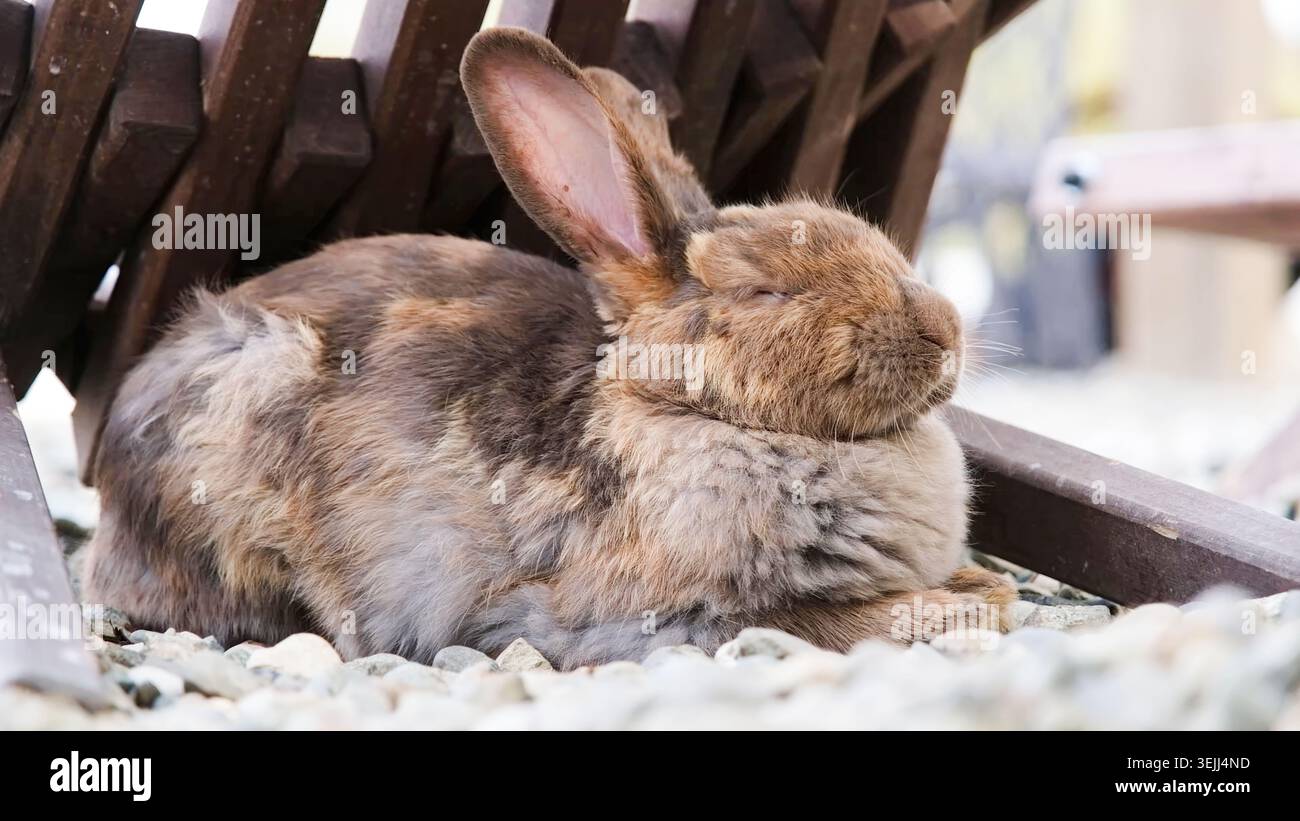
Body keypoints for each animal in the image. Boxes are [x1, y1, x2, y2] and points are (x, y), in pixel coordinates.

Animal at [83, 27, 1015, 670]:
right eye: (767, 292)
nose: (944, 332)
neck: (682, 407)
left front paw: (985, 587)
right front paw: (973, 605)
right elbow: (830, 620)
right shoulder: (672, 613)